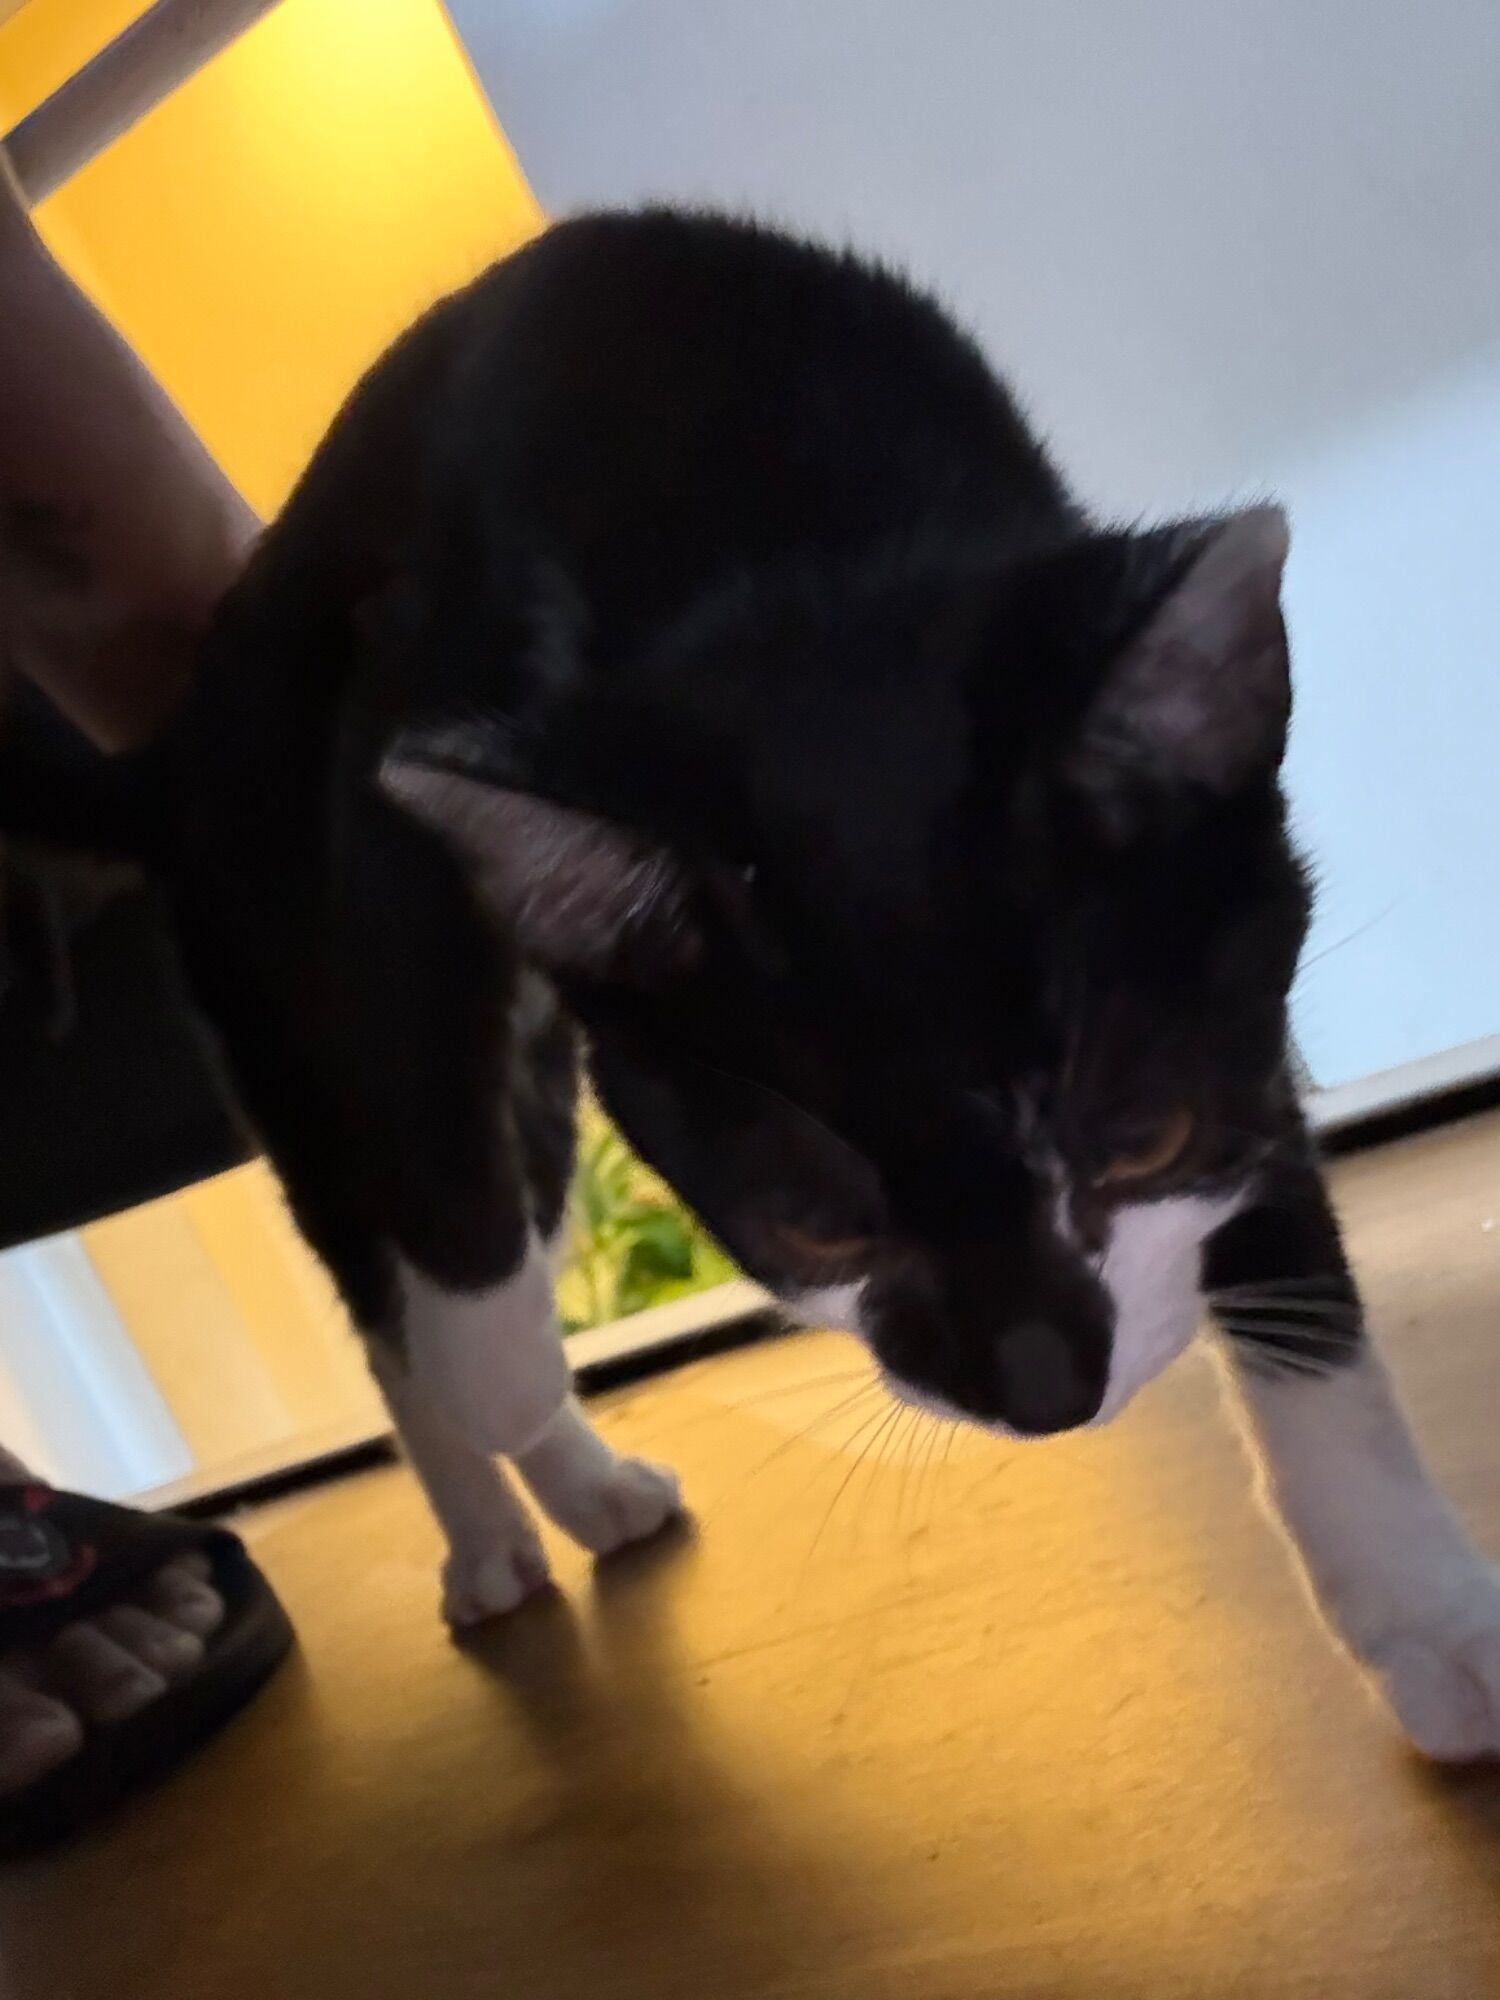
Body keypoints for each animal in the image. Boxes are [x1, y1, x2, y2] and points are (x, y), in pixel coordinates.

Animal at [6, 208, 1499, 1757]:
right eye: (815, 1225)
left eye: (1144, 1137)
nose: (1045, 1391)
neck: (775, 520)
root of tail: (175, 742)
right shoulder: (401, 732)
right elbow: (432, 1124)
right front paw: (497, 1365)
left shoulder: (1231, 954)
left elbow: (1277, 1223)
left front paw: (1427, 1613)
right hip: (266, 934)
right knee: (386, 1250)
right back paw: (488, 1506)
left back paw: (580, 1490)